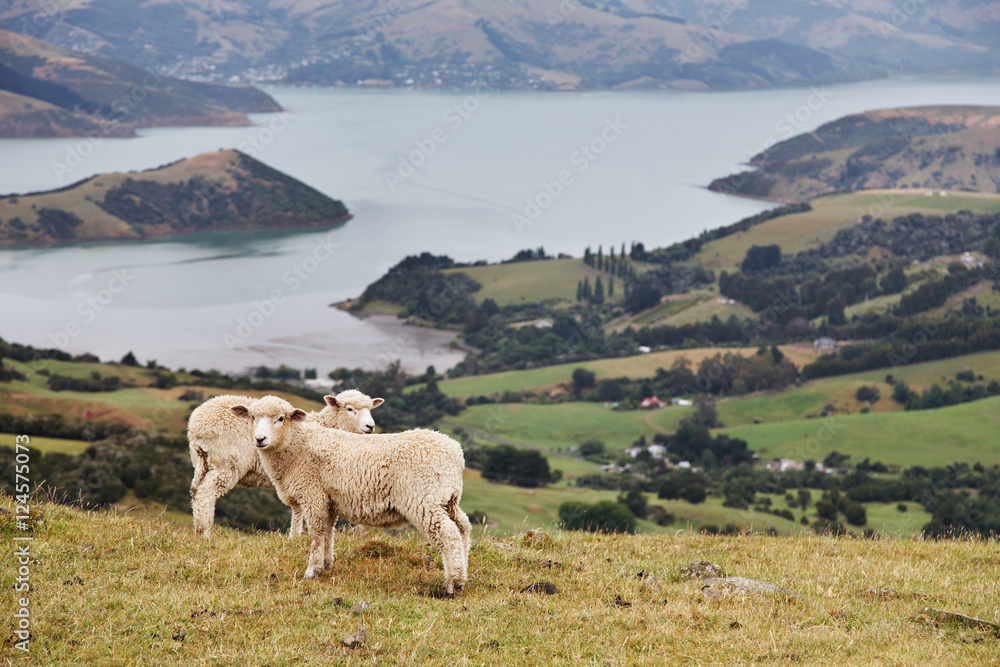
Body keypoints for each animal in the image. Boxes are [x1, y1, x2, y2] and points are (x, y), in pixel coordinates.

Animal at [186, 388, 380, 540]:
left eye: (371, 409)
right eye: (350, 409)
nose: (370, 426)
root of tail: (196, 424)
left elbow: (298, 507)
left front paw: (296, 535)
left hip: (202, 461)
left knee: (195, 491)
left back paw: (197, 530)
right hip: (226, 463)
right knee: (206, 494)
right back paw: (205, 533)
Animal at [232, 396, 470, 596]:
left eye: (280, 419)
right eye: (253, 417)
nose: (260, 439)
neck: (297, 446)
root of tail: (455, 452)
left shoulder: (313, 495)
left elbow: (316, 534)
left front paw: (311, 570)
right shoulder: (329, 500)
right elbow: (328, 532)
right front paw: (325, 564)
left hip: (424, 499)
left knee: (448, 535)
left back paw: (453, 584)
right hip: (448, 498)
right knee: (463, 528)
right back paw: (464, 571)